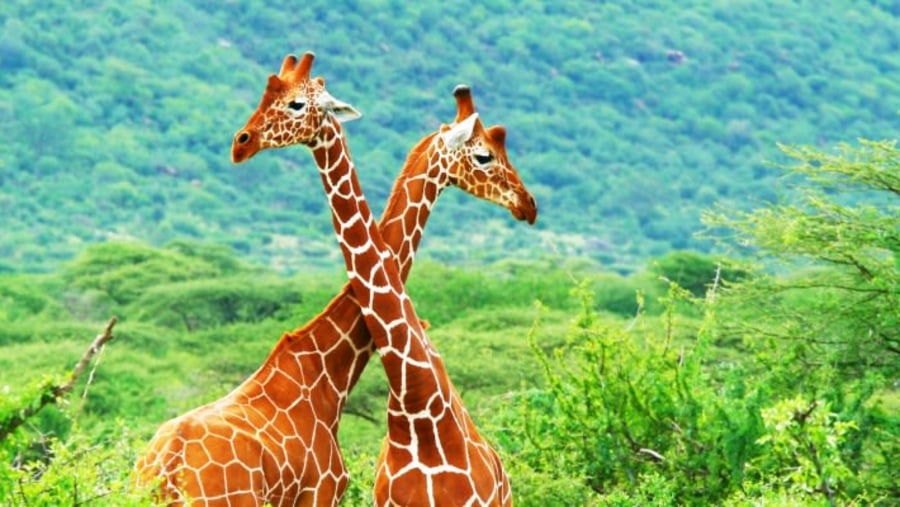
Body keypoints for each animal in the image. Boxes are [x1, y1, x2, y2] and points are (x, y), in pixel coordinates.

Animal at [134, 53, 536, 506]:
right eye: (486, 155)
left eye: (294, 103)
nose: (527, 203)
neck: (327, 374)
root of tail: (165, 468)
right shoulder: (323, 490)